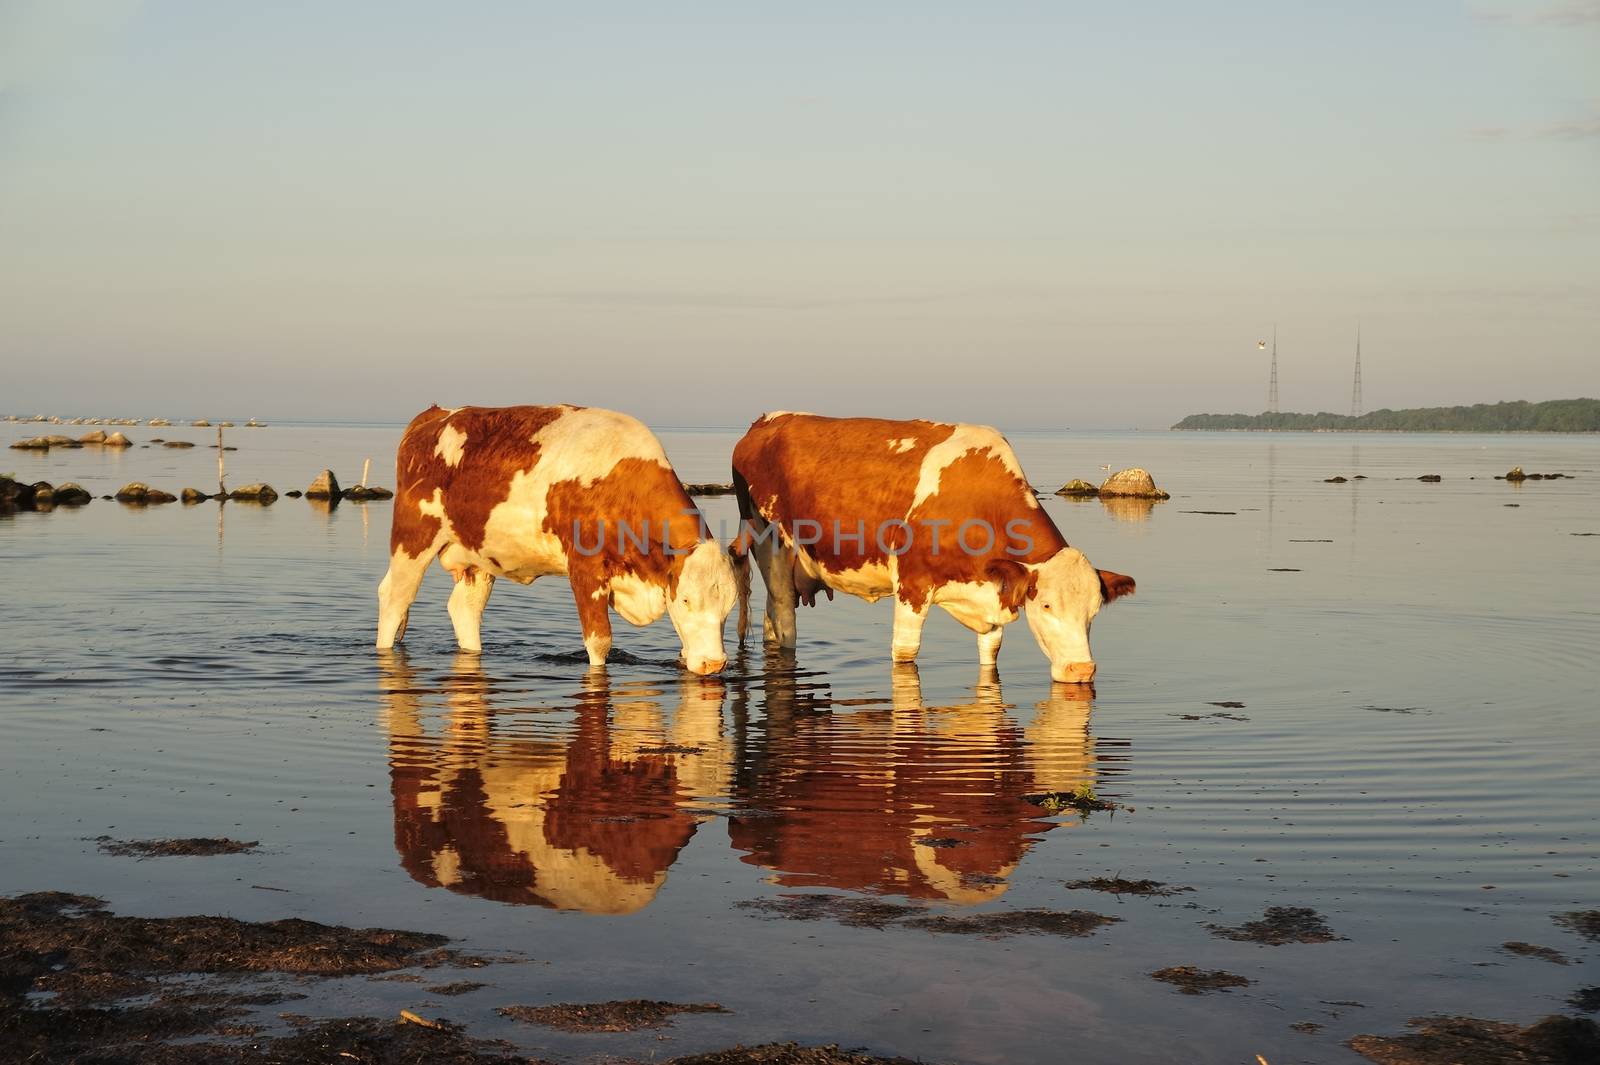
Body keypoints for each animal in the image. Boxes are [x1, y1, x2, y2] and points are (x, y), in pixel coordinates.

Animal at [377, 402, 732, 674]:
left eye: (728, 606)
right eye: (685, 600)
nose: (713, 664)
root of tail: (436, 415)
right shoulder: (585, 567)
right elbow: (599, 641)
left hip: (477, 554)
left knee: (464, 609)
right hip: (414, 536)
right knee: (394, 598)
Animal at [732, 409, 1132, 684]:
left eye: (1094, 610)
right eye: (1046, 605)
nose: (1081, 669)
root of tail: (766, 421)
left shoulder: (991, 597)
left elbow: (991, 652)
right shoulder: (912, 584)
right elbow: (906, 654)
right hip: (771, 545)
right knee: (785, 621)